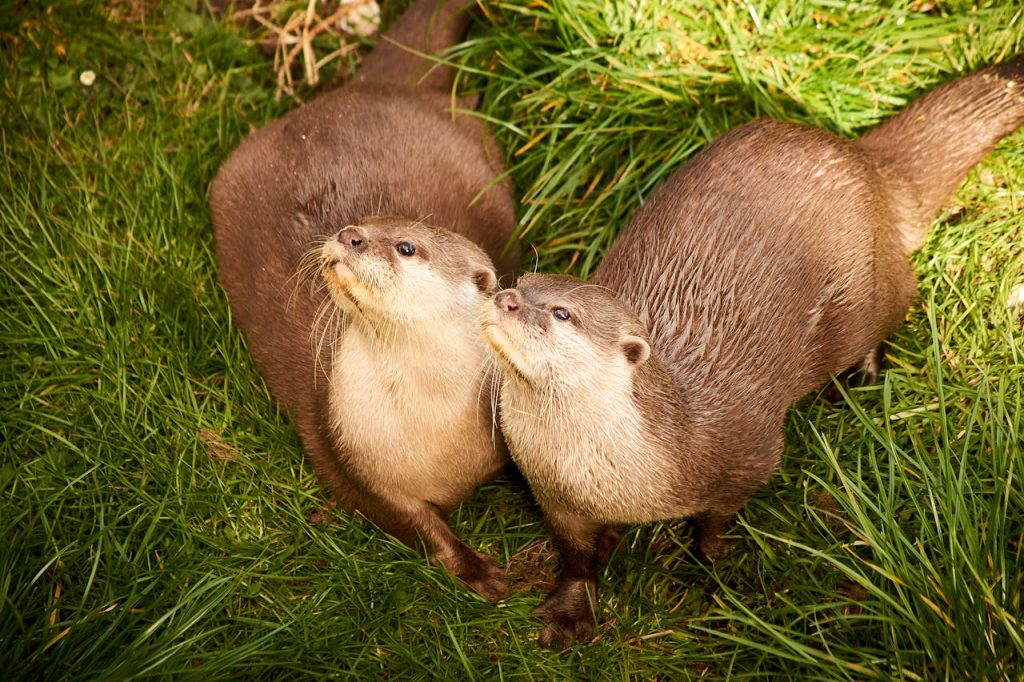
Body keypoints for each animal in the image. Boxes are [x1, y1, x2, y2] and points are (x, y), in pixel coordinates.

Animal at [210, 0, 518, 602]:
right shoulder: (355, 460)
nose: (349, 234)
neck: (433, 430)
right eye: (362, 223)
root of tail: (367, 89)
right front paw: (478, 571)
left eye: (406, 245)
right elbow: (418, 528)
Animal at [482, 58, 1024, 645]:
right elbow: (577, 557)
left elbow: (718, 517)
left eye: (562, 313)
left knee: (897, 303)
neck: (613, 478)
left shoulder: (745, 457)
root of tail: (862, 161)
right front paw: (571, 608)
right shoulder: (555, 499)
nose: (506, 299)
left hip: (871, 288)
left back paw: (858, 380)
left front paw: (717, 562)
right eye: (522, 282)